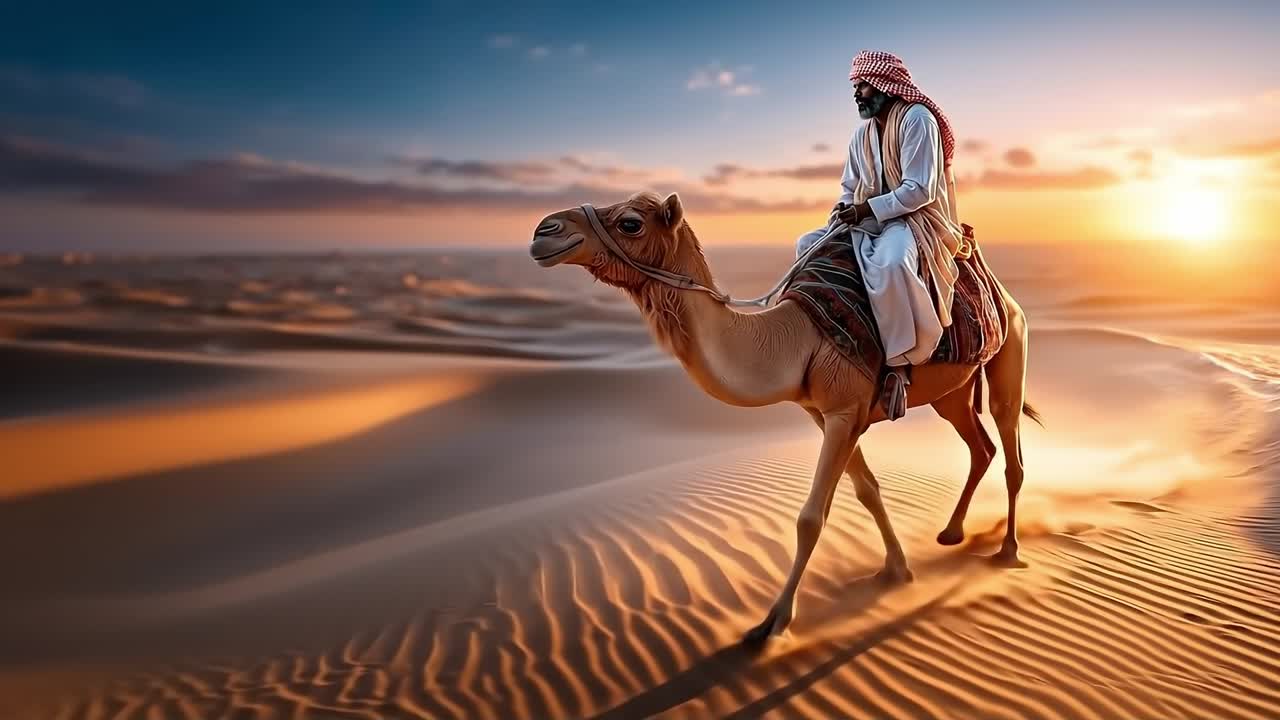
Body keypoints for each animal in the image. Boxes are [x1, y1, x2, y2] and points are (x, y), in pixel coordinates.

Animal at [528, 191, 1040, 644]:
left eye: (630, 223)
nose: (544, 231)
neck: (796, 339)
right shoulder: (825, 413)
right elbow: (867, 490)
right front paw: (897, 569)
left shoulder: (843, 412)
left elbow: (811, 516)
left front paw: (773, 621)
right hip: (951, 393)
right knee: (980, 446)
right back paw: (952, 532)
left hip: (1010, 349)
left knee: (1010, 450)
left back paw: (1008, 550)